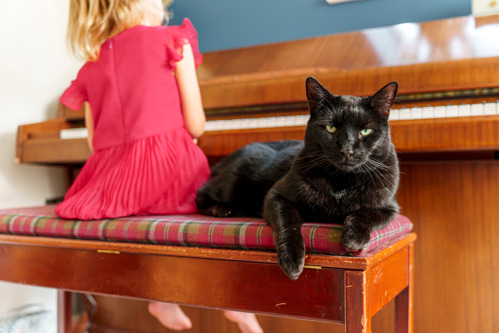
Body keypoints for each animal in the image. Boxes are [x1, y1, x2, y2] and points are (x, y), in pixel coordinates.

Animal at [195, 76, 398, 278]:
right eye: (331, 128)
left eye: (366, 131)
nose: (347, 150)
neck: (341, 182)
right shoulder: (275, 196)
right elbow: (288, 221)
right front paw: (292, 259)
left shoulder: (390, 208)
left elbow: (366, 213)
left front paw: (354, 237)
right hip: (231, 184)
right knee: (200, 194)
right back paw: (222, 209)